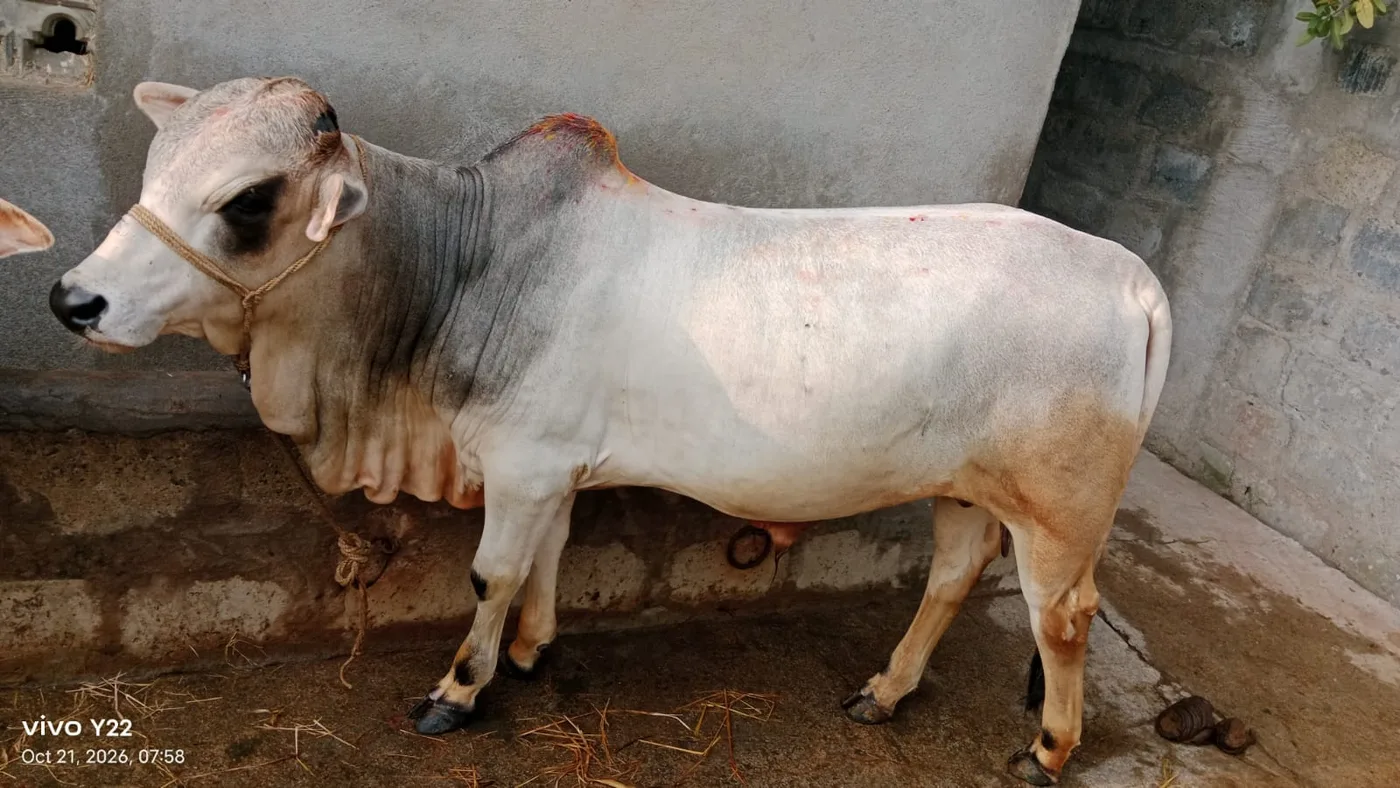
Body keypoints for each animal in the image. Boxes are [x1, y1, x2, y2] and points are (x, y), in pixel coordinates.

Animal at [49, 77, 1171, 785]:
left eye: (248, 200)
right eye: (155, 168)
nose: (73, 298)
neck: (465, 263)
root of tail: (1134, 277)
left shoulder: (520, 464)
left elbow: (490, 575)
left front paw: (459, 688)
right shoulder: (548, 470)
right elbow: (547, 557)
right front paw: (533, 648)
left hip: (1057, 516)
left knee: (1065, 618)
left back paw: (1047, 747)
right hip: (967, 490)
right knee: (948, 578)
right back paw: (883, 691)